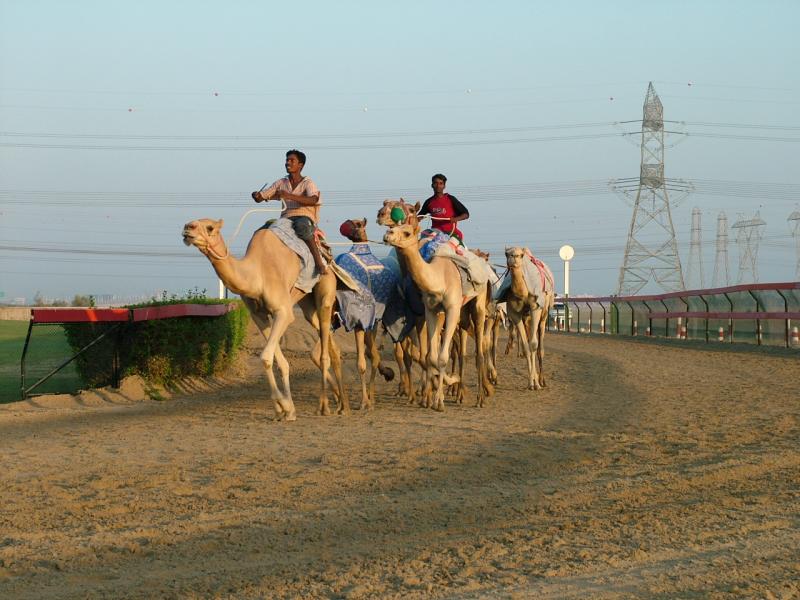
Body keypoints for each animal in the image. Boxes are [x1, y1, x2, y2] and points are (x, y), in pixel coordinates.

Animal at [184, 218, 346, 420]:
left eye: (210, 227)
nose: (187, 228)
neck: (256, 274)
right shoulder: (259, 315)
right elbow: (280, 362)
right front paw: (286, 410)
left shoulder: (283, 312)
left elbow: (266, 357)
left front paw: (284, 405)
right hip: (307, 304)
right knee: (329, 343)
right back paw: (341, 402)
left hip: (325, 289)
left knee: (325, 349)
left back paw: (324, 407)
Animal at [382, 220, 490, 412]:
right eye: (393, 227)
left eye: (407, 232)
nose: (387, 235)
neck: (439, 279)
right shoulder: (431, 310)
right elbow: (431, 357)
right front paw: (433, 397)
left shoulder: (452, 309)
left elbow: (442, 358)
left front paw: (438, 401)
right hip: (461, 314)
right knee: (461, 351)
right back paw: (460, 392)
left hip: (478, 301)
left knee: (479, 349)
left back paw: (480, 399)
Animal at [504, 247, 552, 392]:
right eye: (506, 254)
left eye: (520, 255)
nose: (512, 258)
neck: (523, 293)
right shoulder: (515, 314)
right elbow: (527, 347)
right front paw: (531, 382)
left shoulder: (535, 308)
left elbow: (533, 345)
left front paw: (536, 384)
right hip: (526, 319)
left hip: (543, 315)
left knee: (540, 346)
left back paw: (542, 380)